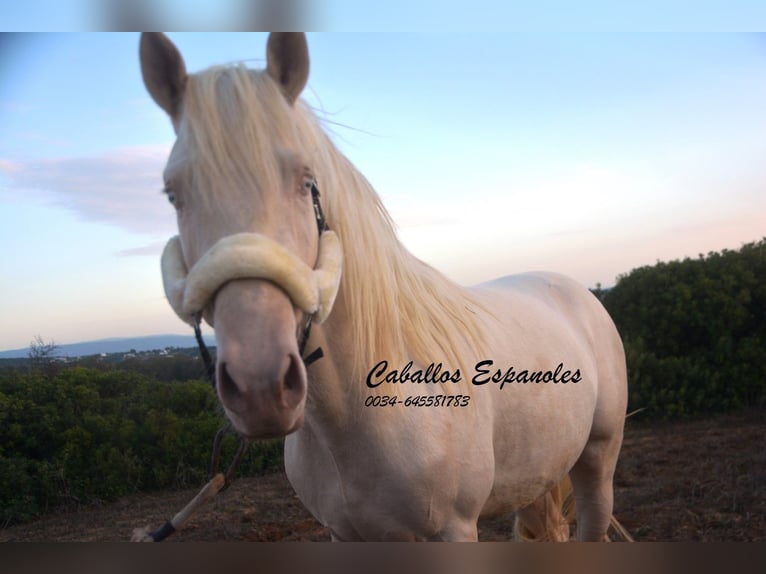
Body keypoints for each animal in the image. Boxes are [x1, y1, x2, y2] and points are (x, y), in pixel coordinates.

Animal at [140, 32, 632, 544]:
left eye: (306, 180)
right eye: (173, 194)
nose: (260, 386)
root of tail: (578, 292)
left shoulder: (455, 529)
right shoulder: (346, 534)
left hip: (598, 459)